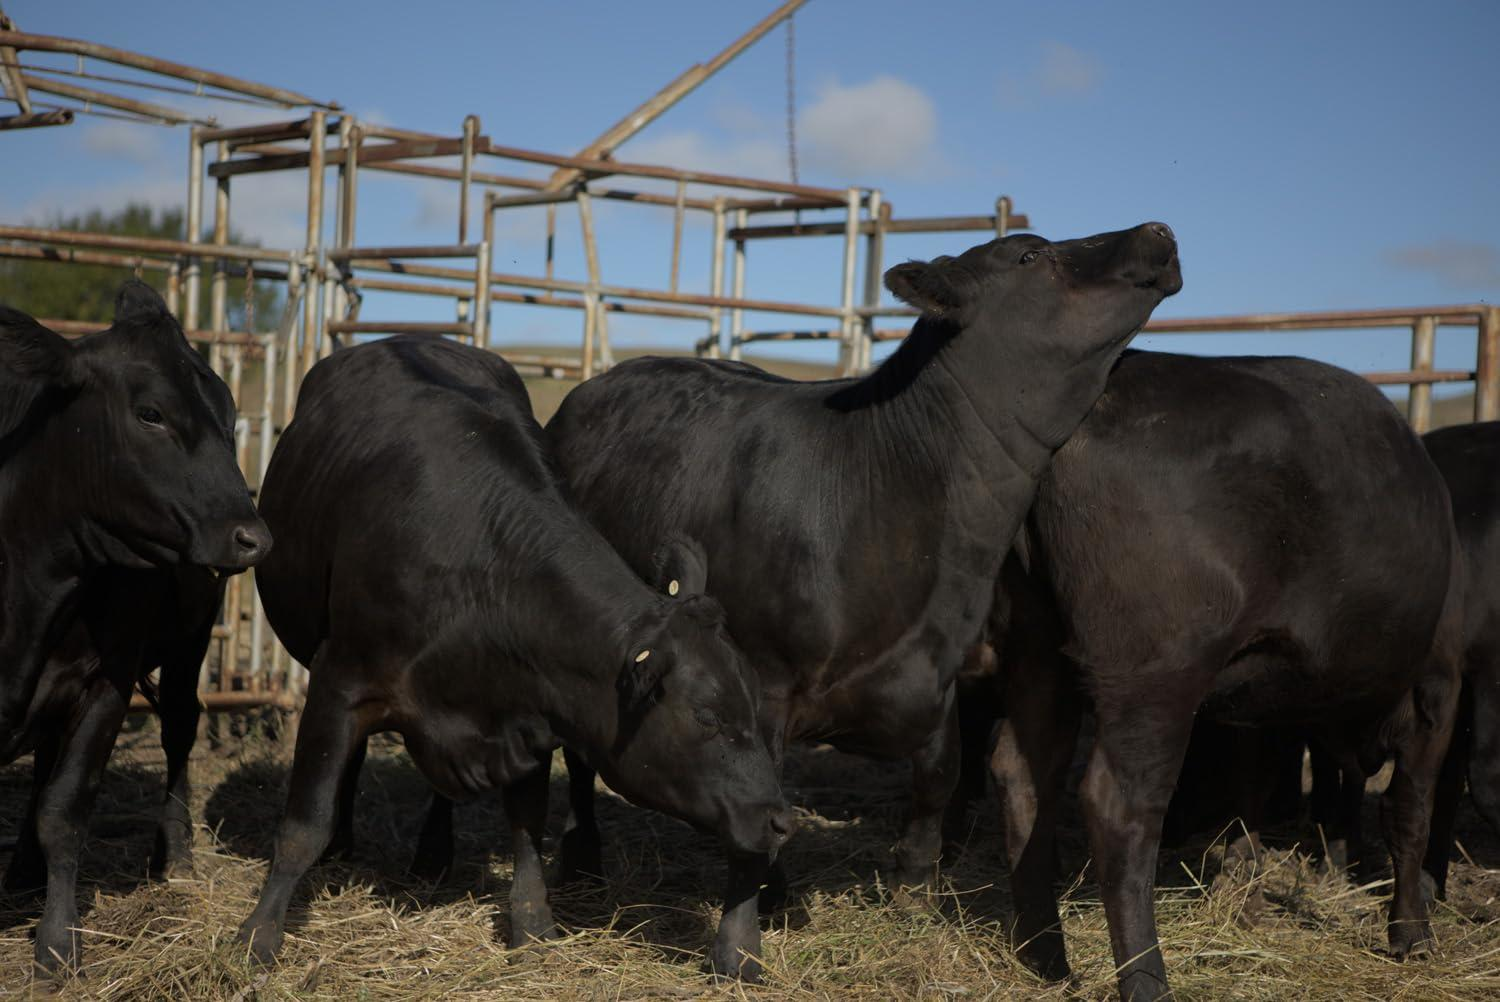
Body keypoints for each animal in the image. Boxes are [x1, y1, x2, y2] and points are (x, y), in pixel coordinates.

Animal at [0, 283, 269, 975]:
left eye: (229, 418)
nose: (253, 536)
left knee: (178, 729)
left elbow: (66, 808)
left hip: (189, 644)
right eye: (151, 413)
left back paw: (174, 855)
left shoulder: (107, 683)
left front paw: (57, 944)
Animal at [237, 335, 795, 965]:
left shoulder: (528, 713)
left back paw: (433, 854)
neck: (476, 574)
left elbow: (527, 823)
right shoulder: (339, 681)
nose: (781, 821)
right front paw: (259, 935)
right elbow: (306, 821)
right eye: (708, 716)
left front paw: (532, 923)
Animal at [538, 223, 1182, 980]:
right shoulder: (762, 681)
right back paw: (581, 858)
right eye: (1030, 255)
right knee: (582, 758)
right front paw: (753, 928)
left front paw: (913, 888)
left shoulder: (935, 672)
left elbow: (940, 776)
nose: (1157, 230)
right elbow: (755, 802)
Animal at [958, 350, 1461, 1001]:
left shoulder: (1256, 707)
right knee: (1119, 807)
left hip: (1040, 654)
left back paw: (1045, 957)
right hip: (1154, 678)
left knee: (1022, 775)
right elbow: (1409, 814)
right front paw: (1411, 933)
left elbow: (1249, 796)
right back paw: (1146, 978)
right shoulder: (1436, 689)